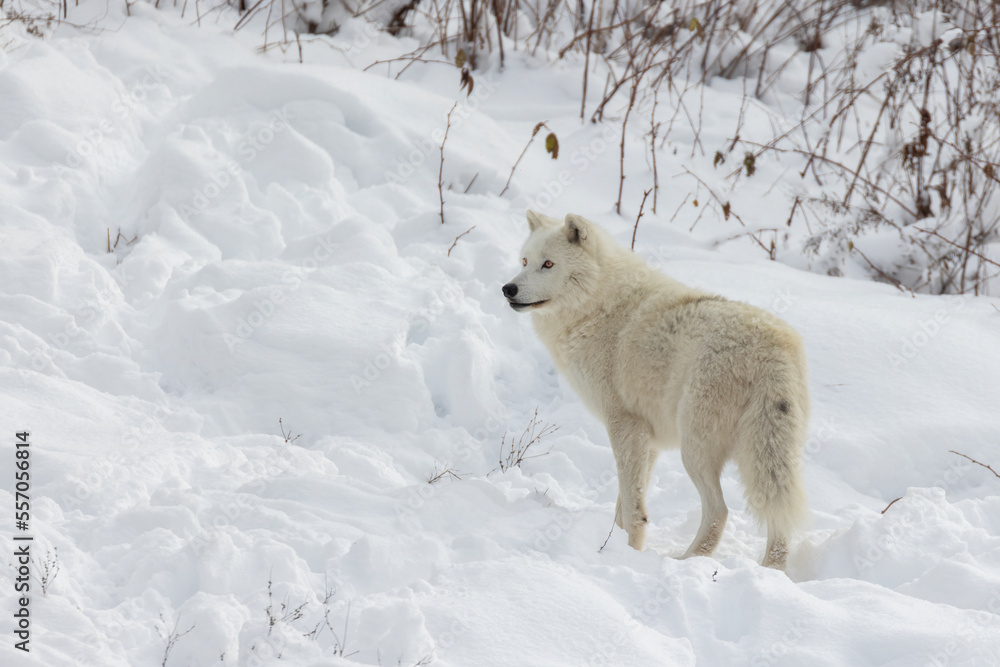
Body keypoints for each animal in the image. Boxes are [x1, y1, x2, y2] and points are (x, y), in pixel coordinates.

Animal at [504, 211, 808, 572]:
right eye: (524, 261)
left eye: (548, 264)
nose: (508, 289)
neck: (598, 306)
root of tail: (773, 349)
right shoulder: (647, 439)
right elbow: (624, 504)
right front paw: (614, 546)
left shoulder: (624, 425)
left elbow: (632, 506)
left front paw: (625, 555)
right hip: (767, 455)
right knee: (777, 517)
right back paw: (772, 570)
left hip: (695, 450)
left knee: (719, 510)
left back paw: (687, 561)